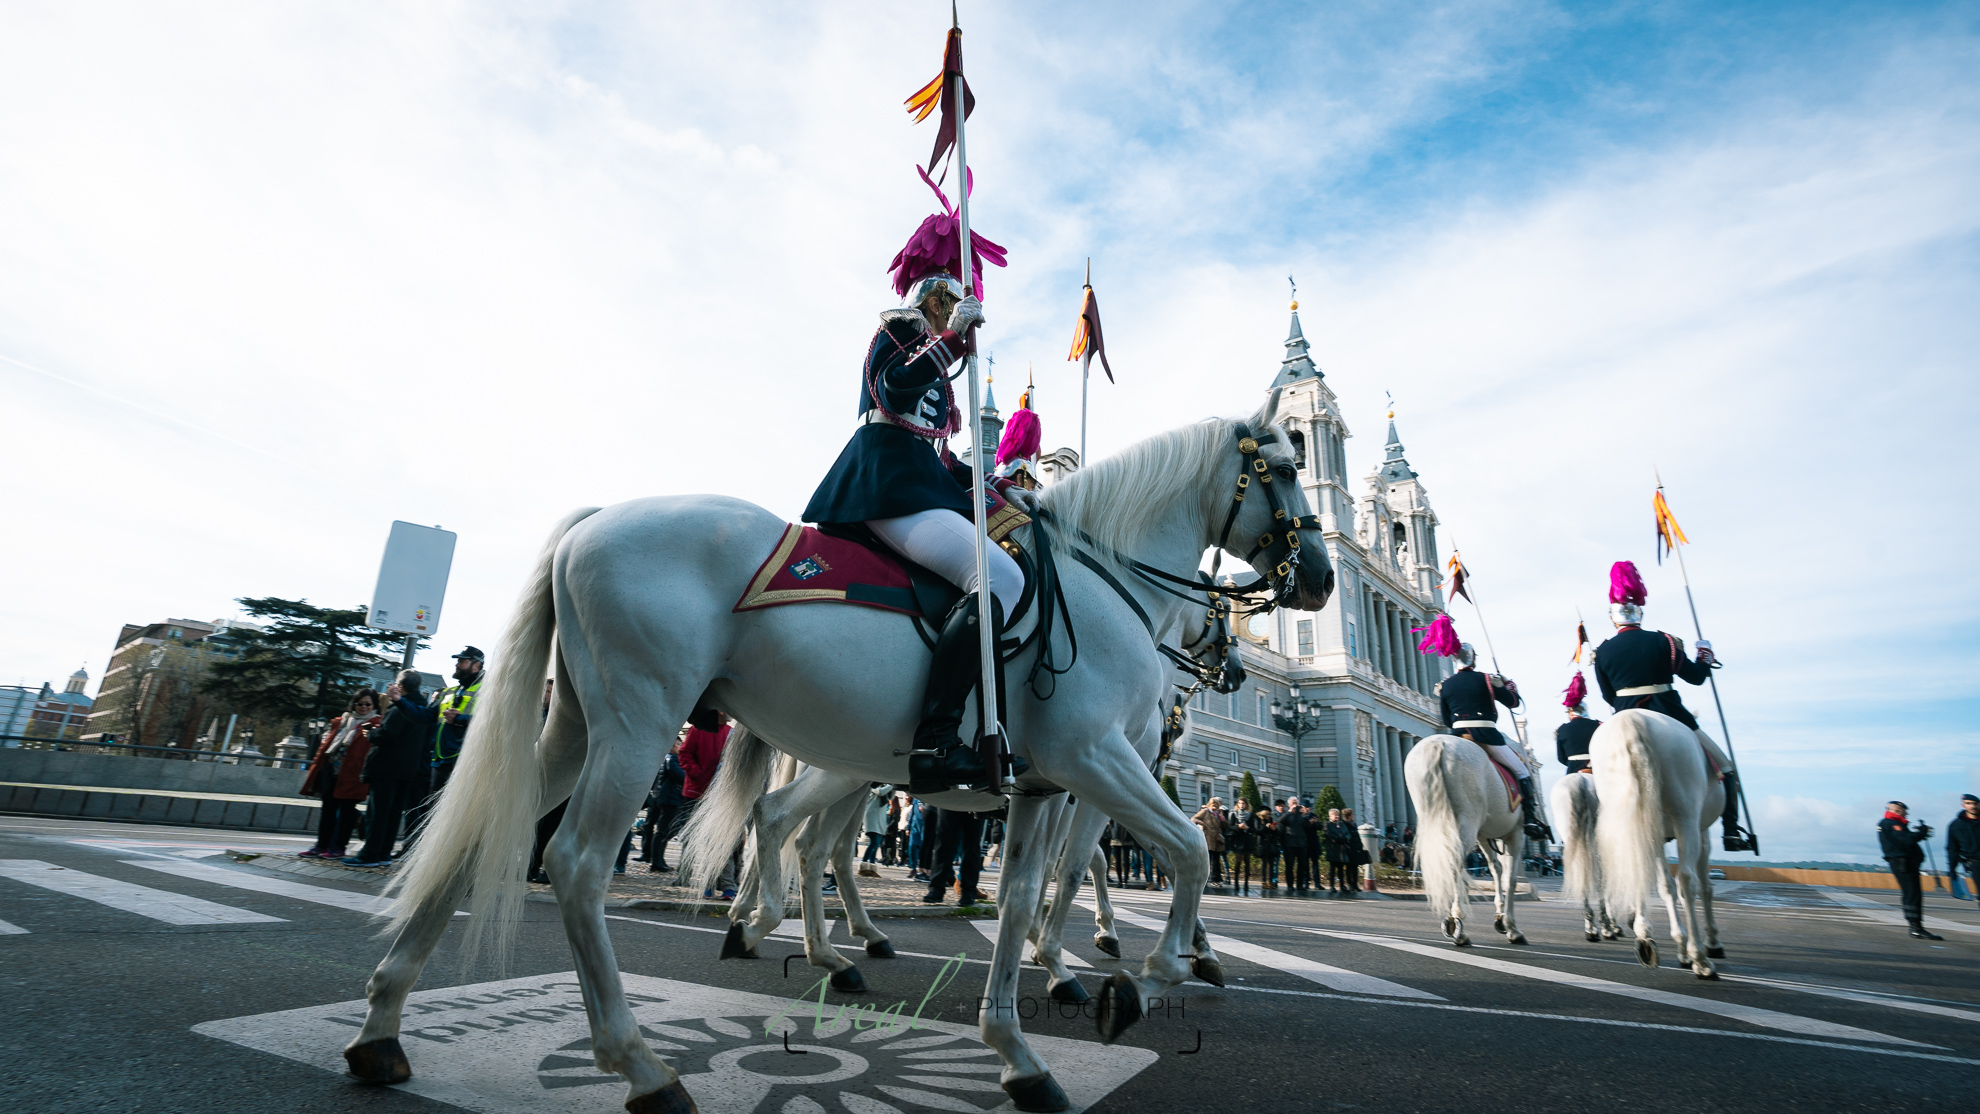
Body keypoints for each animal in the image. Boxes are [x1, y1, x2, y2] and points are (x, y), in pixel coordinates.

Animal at [348, 403, 1338, 1114]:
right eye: (1283, 469)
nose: (1322, 581)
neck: (1107, 582)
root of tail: (595, 520)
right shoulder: (1097, 763)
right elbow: (1184, 851)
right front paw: (1152, 971)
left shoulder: (1043, 784)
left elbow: (1024, 898)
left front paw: (1020, 1048)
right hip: (642, 723)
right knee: (593, 860)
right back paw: (650, 1060)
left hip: (582, 729)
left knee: (492, 834)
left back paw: (383, 1029)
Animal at [1409, 736, 1528, 945]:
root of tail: (1437, 742)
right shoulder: (1516, 833)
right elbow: (1510, 879)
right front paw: (1512, 928)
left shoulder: (1484, 836)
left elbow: (1496, 868)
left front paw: (1500, 917)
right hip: (1468, 822)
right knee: (1452, 862)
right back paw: (1457, 922)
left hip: (1433, 819)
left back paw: (1453, 920)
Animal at [1584, 712, 1726, 981]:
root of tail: (1631, 719)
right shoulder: (1702, 834)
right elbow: (1705, 887)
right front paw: (1712, 942)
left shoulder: (1657, 835)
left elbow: (1665, 886)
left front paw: (1681, 949)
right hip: (1685, 820)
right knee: (1687, 881)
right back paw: (1700, 959)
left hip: (1636, 819)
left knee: (1644, 873)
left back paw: (1645, 938)